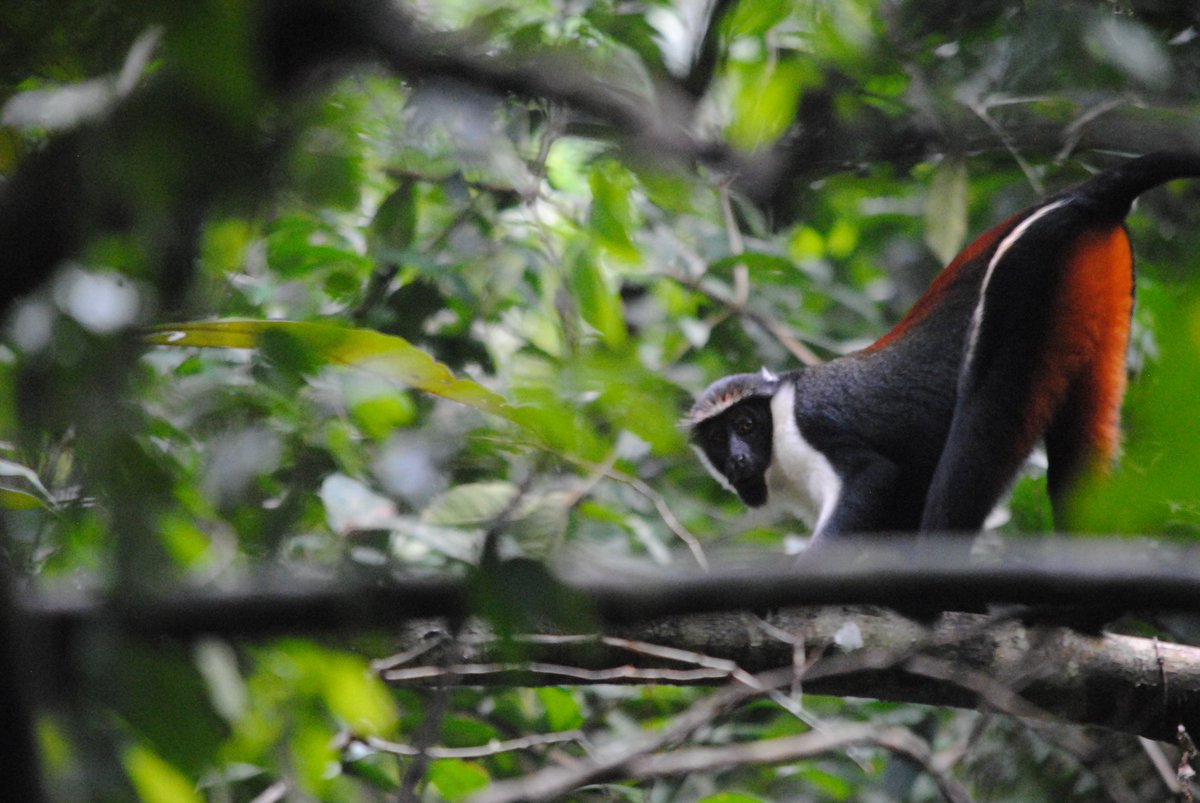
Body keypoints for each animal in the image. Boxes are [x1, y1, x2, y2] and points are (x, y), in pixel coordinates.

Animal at [685, 152, 1200, 544]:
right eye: (717, 439)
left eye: (746, 425)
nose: (737, 458)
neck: (779, 410)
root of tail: (1081, 196)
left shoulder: (813, 435)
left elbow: (872, 477)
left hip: (1025, 272)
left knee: (982, 430)